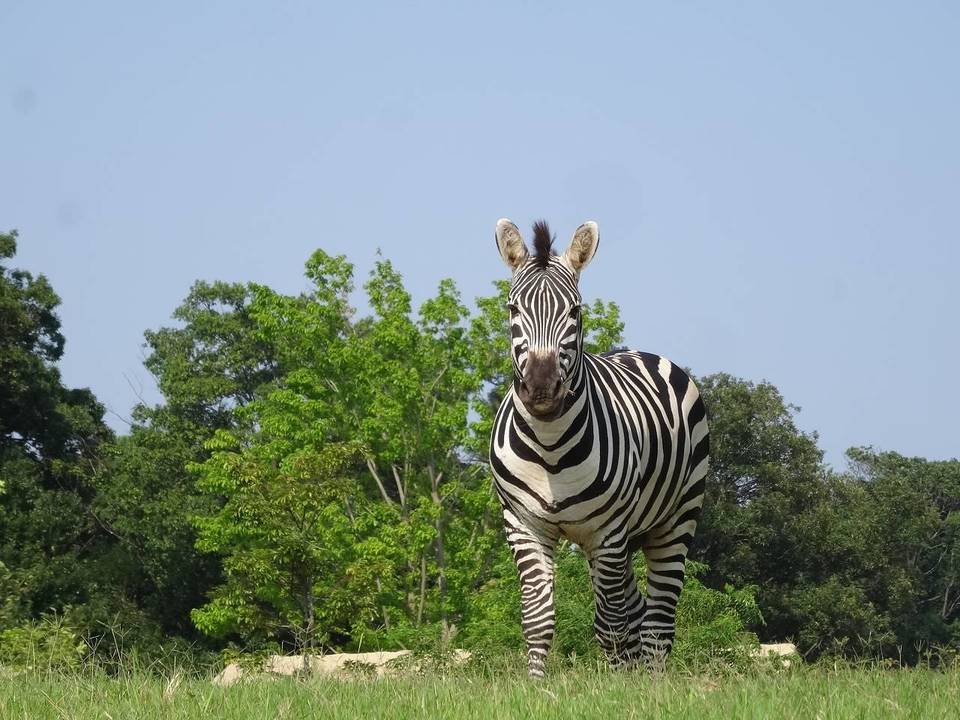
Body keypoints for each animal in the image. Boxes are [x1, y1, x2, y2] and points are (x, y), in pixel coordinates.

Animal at [492, 218, 708, 676]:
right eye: (512, 309)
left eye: (575, 311)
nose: (541, 389)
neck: (550, 448)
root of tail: (644, 353)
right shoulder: (523, 525)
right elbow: (538, 618)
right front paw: (534, 684)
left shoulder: (606, 532)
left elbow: (610, 625)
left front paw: (618, 686)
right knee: (637, 610)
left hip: (675, 519)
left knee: (657, 620)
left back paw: (652, 681)